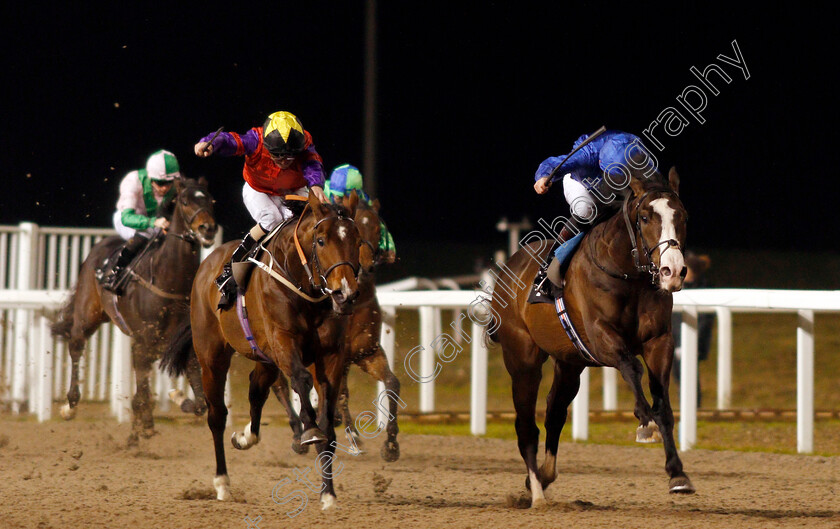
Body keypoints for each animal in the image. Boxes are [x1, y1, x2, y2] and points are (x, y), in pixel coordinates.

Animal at [50, 177, 218, 442]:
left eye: (210, 200)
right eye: (185, 201)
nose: (207, 228)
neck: (170, 281)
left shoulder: (183, 344)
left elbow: (200, 402)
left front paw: (177, 398)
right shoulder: (143, 342)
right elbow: (141, 394)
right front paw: (140, 431)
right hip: (89, 314)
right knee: (76, 345)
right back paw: (70, 405)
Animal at [161, 190, 360, 508]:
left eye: (357, 240)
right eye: (321, 241)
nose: (346, 294)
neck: (302, 283)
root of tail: (207, 264)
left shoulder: (330, 355)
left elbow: (329, 422)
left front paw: (328, 494)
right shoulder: (283, 341)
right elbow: (302, 380)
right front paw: (309, 428)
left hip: (264, 358)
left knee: (256, 389)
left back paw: (245, 437)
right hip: (212, 358)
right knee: (216, 416)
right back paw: (222, 483)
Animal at [270, 196, 400, 460]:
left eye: (376, 229)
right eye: (359, 229)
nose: (366, 267)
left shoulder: (366, 352)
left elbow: (392, 383)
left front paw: (391, 444)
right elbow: (339, 394)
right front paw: (353, 438)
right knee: (280, 386)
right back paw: (299, 435)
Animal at [488, 169, 692, 508]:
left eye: (682, 215)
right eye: (645, 217)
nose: (672, 271)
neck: (629, 275)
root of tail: (508, 269)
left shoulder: (659, 341)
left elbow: (663, 404)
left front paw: (678, 474)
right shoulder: (600, 336)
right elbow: (631, 366)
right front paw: (644, 421)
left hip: (569, 363)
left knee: (555, 412)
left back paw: (543, 477)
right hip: (522, 360)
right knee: (526, 425)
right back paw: (537, 494)